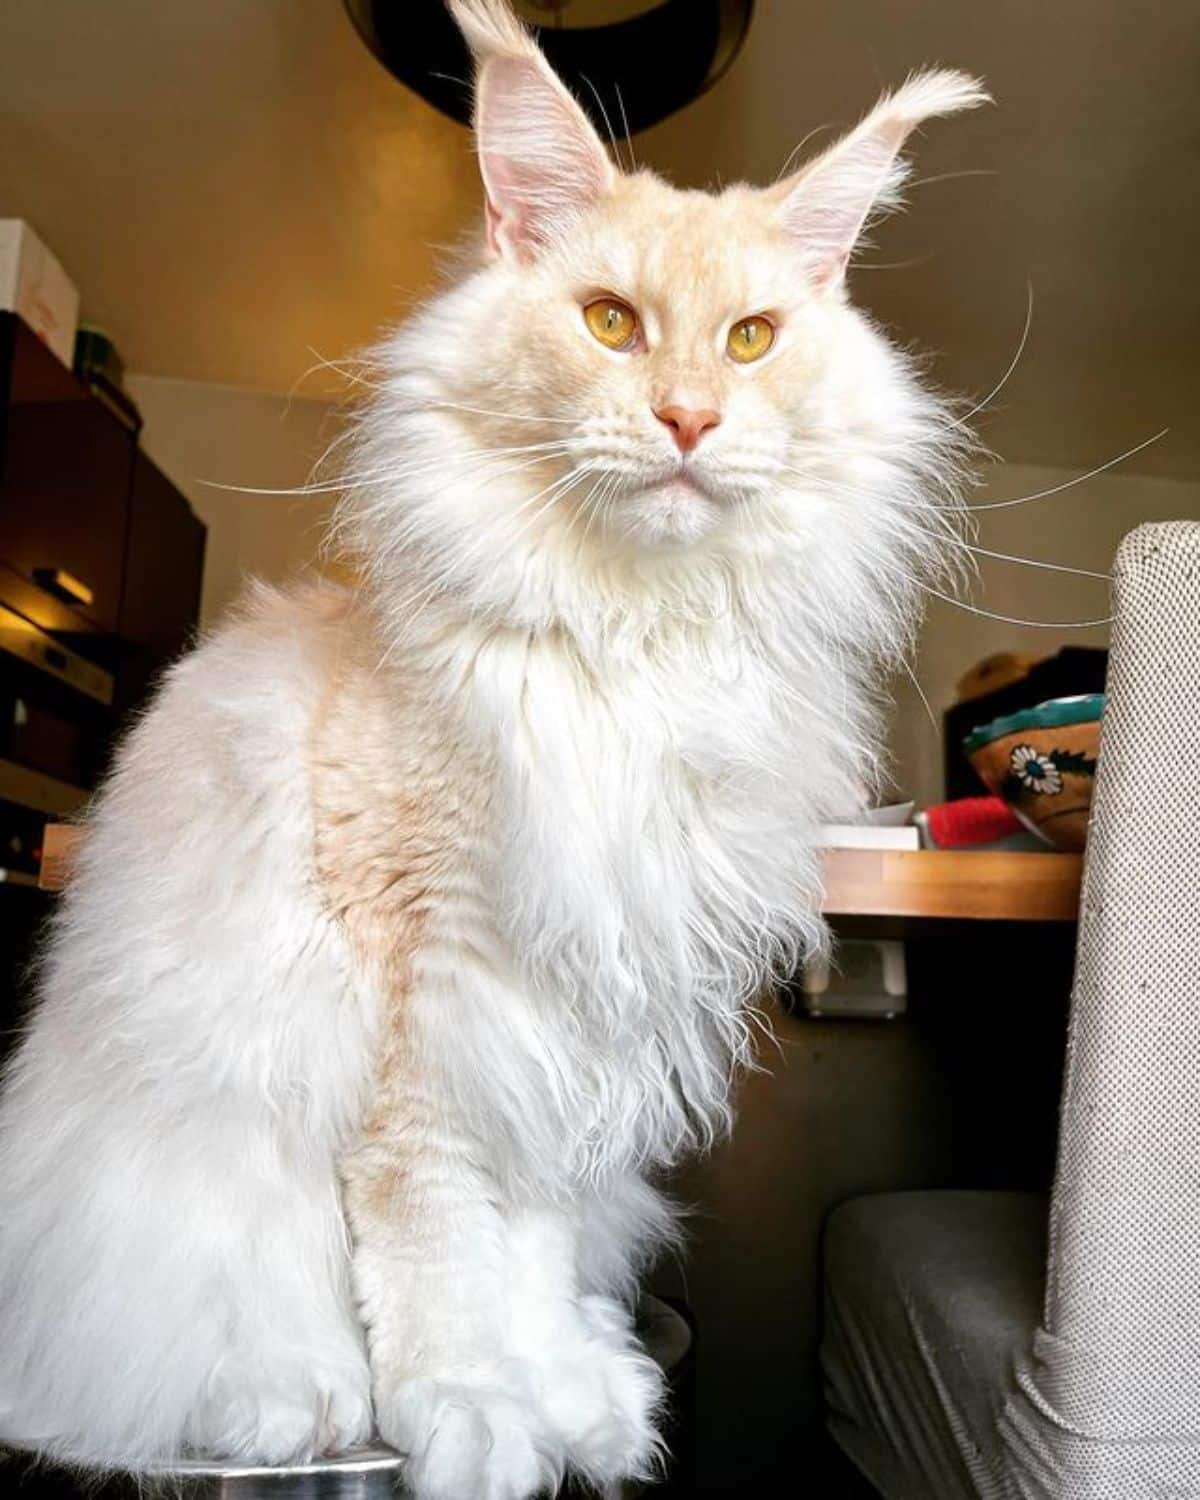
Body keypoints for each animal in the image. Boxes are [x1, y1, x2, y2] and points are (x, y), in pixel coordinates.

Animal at [0, 5, 978, 1494]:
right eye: (611, 324)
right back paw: (292, 1401)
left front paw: (564, 1395)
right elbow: (438, 1240)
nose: (690, 419)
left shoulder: (575, 1013)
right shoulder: (435, 1004)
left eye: (753, 340)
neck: (633, 645)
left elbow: (529, 1246)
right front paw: (465, 1411)